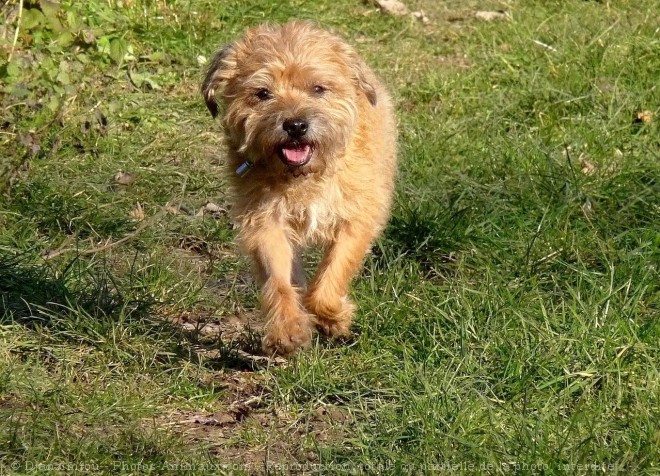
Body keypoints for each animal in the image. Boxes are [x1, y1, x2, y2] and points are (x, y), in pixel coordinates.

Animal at [201, 20, 398, 356]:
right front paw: (288, 329)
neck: (304, 176)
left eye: (318, 88)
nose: (295, 125)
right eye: (262, 93)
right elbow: (279, 279)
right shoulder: (265, 221)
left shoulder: (357, 217)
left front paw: (334, 318)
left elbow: (333, 272)